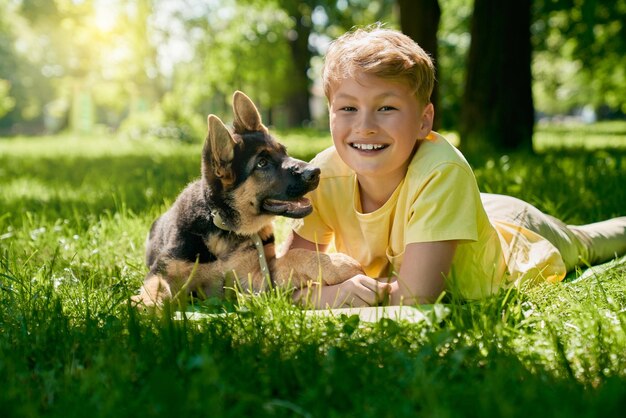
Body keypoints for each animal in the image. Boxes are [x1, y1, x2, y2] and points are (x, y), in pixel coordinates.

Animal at [134, 92, 364, 306]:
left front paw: (335, 263)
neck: (223, 225)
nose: (315, 172)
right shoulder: (162, 272)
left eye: (284, 152)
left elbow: (295, 255)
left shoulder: (256, 278)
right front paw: (147, 310)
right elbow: (153, 290)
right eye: (262, 163)